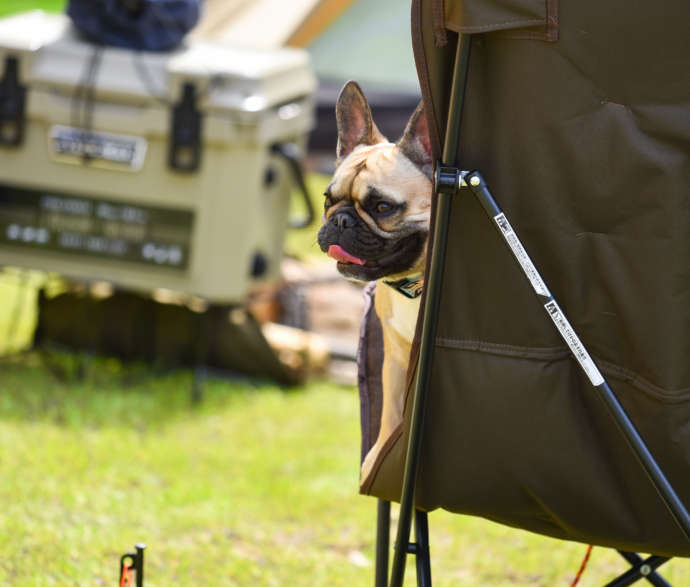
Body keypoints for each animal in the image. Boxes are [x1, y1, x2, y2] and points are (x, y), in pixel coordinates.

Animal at [318, 84, 430, 486]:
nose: (341, 221)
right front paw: (381, 455)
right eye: (328, 199)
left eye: (383, 207)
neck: (416, 284)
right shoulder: (395, 359)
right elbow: (392, 413)